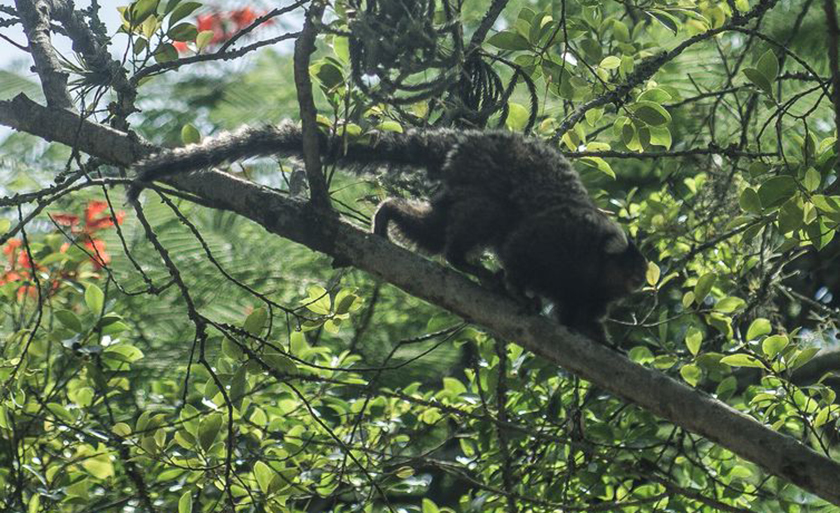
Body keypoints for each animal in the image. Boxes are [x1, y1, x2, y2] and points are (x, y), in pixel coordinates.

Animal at [128, 122, 648, 342]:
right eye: (634, 270)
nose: (643, 284)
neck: (591, 263)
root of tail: (463, 141)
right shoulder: (557, 240)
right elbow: (520, 251)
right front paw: (519, 291)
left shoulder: (588, 293)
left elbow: (578, 316)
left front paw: (601, 340)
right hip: (482, 176)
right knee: (485, 219)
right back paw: (466, 263)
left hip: (456, 184)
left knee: (436, 228)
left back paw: (390, 215)